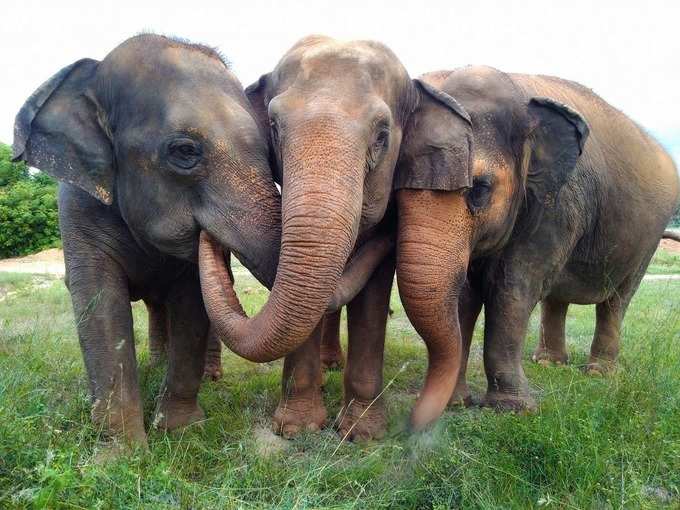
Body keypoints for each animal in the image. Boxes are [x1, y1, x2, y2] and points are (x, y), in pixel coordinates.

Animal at [11, 32, 284, 446]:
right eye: (185, 151)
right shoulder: (78, 208)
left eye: (270, 152)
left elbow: (192, 302)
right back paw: (154, 366)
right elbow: (98, 302)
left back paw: (207, 376)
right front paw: (122, 451)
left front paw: (180, 430)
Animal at [394, 65, 680, 420]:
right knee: (557, 296)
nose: (415, 421)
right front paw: (456, 404)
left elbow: (512, 288)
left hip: (648, 237)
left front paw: (513, 410)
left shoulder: (557, 205)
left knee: (618, 298)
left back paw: (598, 373)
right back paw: (549, 364)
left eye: (479, 188)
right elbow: (465, 293)